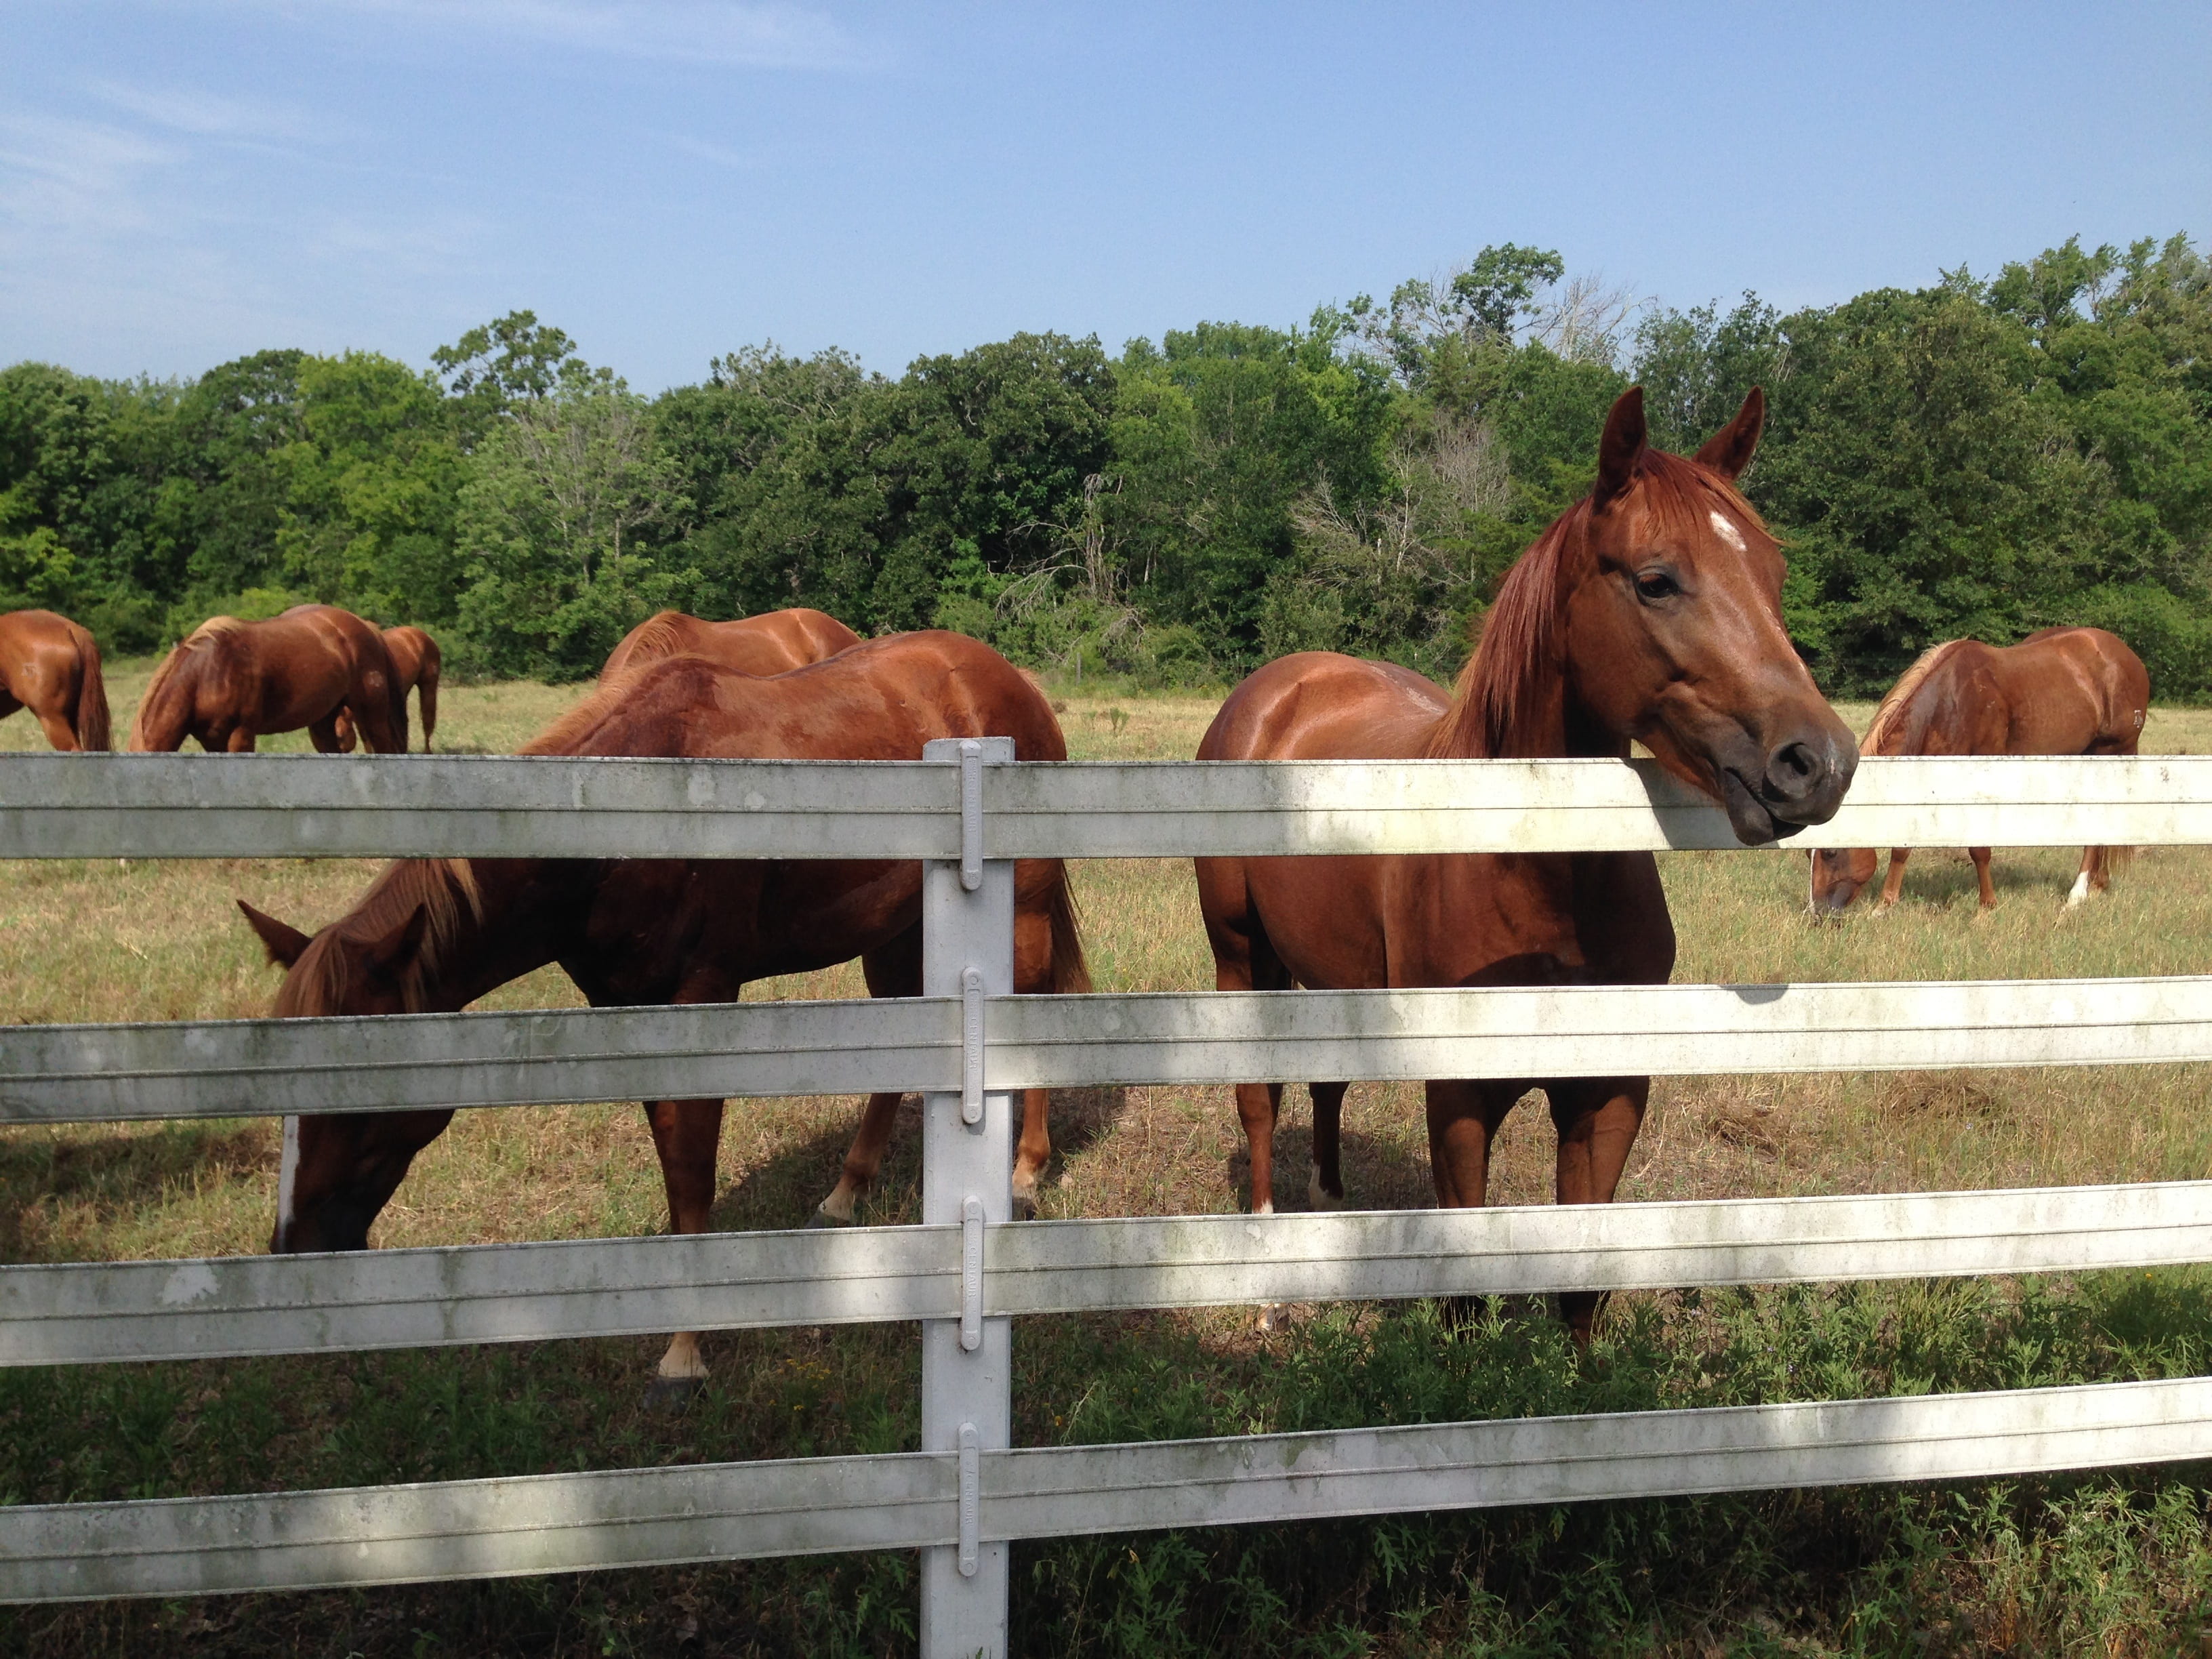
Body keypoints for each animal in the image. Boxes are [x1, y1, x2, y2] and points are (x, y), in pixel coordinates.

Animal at [129, 606, 406, 754]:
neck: (207, 672)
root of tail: (365, 626)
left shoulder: (241, 734)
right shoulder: (212, 740)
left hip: (371, 713)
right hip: (324, 722)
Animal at [1194, 387, 1857, 1341]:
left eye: (1773, 575)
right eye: (1656, 580)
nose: (1818, 763)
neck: (1539, 875)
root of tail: (1280, 688)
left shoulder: (1607, 1095)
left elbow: (1580, 1286)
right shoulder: (1461, 1098)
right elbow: (1466, 1294)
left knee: (1326, 1082)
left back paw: (1330, 1201)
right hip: (1240, 956)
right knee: (1259, 1099)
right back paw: (1266, 1268)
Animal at [1809, 627, 2150, 914]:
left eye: (1830, 852)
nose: (1816, 913)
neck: (1950, 700)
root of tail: (2124, 655)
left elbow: (1979, 848)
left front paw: (1987, 905)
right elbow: (1903, 847)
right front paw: (1885, 905)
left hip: (2109, 753)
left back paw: (2077, 895)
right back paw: (2099, 883)